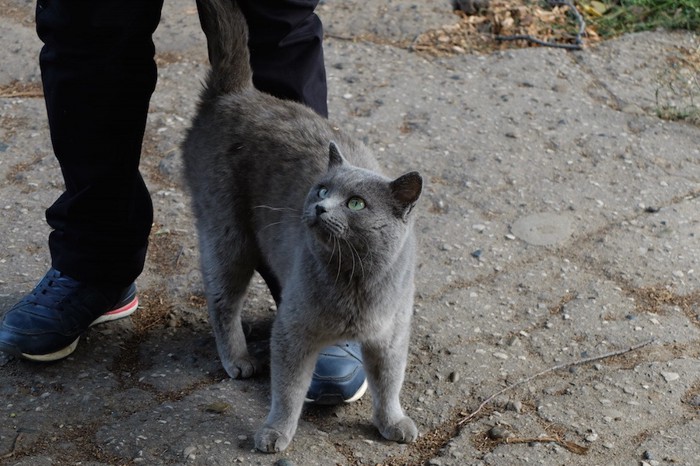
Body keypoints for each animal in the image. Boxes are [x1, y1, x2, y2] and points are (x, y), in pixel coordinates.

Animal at [183, 0, 422, 452]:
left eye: (356, 203)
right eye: (321, 190)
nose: (320, 208)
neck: (354, 281)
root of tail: (239, 92)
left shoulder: (390, 335)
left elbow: (389, 383)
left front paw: (393, 423)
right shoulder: (294, 332)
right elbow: (289, 390)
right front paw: (275, 433)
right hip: (227, 233)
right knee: (222, 300)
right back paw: (238, 360)